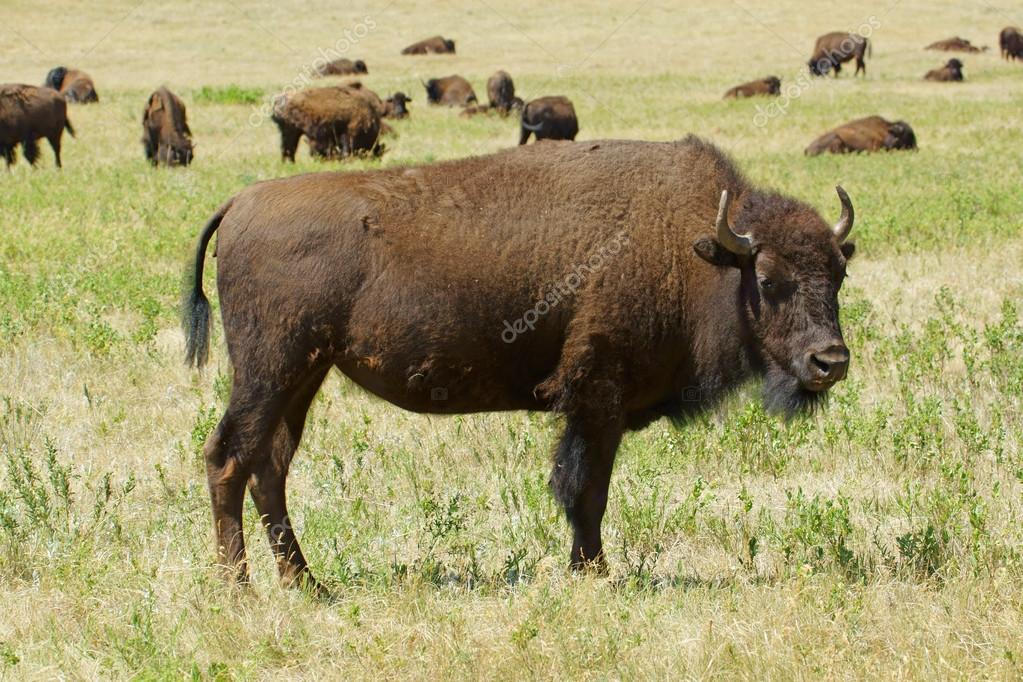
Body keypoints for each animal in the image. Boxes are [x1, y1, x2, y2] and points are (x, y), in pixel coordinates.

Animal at [184, 136, 856, 590]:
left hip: (304, 376)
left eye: (839, 273)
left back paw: (307, 585)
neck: (695, 246)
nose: (830, 360)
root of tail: (240, 203)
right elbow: (586, 490)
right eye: (767, 280)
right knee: (229, 457)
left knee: (268, 466)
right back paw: (239, 588)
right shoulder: (596, 399)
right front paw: (594, 572)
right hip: (270, 370)